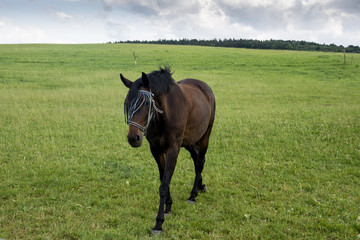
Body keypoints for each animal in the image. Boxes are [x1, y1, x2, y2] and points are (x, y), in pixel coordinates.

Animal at [119, 67, 215, 234]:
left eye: (146, 103)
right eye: (126, 103)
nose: (133, 138)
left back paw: (193, 194)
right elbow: (163, 178)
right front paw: (168, 206)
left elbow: (164, 184)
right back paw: (200, 186)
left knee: (200, 161)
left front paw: (158, 223)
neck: (163, 116)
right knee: (197, 159)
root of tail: (204, 87)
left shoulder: (173, 150)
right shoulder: (156, 150)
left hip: (204, 136)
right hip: (189, 141)